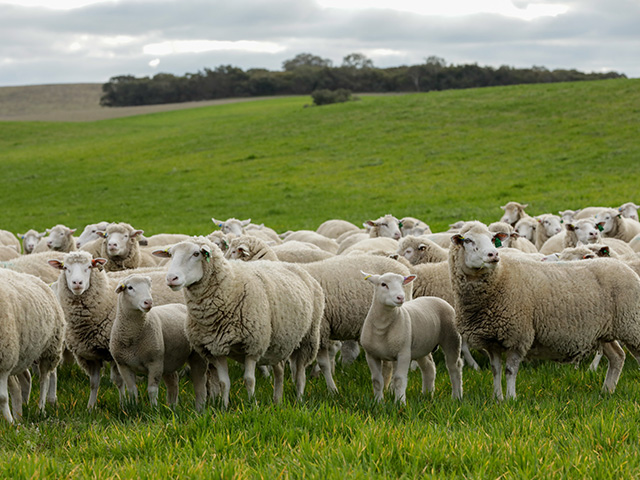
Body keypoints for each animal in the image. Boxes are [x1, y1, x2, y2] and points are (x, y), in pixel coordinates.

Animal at [0, 270, 65, 424]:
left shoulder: (5, 361)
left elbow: (3, 397)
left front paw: (9, 422)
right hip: (22, 355)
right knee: (24, 380)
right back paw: (21, 410)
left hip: (49, 350)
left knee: (44, 379)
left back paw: (40, 409)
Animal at [110, 274, 208, 408]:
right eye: (130, 287)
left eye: (149, 286)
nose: (148, 302)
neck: (132, 335)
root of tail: (181, 306)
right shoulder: (123, 365)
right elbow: (132, 390)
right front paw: (133, 407)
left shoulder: (155, 362)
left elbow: (152, 390)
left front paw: (154, 408)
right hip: (169, 361)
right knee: (173, 382)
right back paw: (172, 407)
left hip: (196, 356)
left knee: (199, 383)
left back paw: (199, 407)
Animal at [154, 238, 324, 406]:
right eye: (170, 254)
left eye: (196, 253)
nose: (171, 278)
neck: (230, 286)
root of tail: (295, 267)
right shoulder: (215, 348)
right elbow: (224, 382)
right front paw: (224, 407)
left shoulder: (253, 345)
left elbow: (249, 380)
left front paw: (252, 405)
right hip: (278, 342)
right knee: (280, 370)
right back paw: (277, 401)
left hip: (307, 338)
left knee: (300, 374)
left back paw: (299, 400)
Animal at [360, 272, 460, 404]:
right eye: (383, 284)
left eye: (402, 283)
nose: (400, 297)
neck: (382, 327)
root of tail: (435, 298)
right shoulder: (371, 355)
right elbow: (377, 381)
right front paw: (378, 402)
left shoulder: (404, 354)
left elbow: (399, 380)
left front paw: (400, 403)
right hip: (422, 346)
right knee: (429, 368)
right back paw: (427, 395)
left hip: (451, 339)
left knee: (454, 367)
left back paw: (457, 397)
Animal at [448, 221, 640, 402]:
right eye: (468, 240)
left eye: (492, 239)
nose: (493, 255)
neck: (501, 278)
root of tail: (622, 265)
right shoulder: (492, 340)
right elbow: (496, 371)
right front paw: (498, 398)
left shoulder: (519, 335)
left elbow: (510, 370)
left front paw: (511, 398)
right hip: (604, 331)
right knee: (617, 357)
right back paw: (606, 391)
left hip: (632, 324)